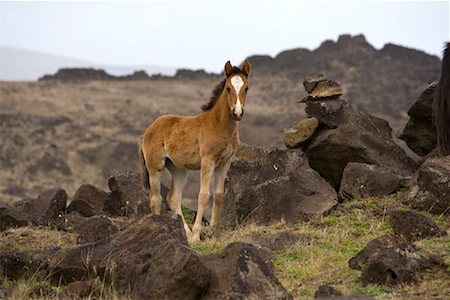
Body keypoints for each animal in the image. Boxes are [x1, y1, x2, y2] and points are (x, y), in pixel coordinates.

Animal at [140, 59, 250, 243]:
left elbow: (219, 195)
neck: (219, 125)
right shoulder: (208, 161)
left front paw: (213, 233)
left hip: (179, 170)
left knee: (173, 198)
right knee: (156, 199)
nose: (237, 112)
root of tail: (148, 130)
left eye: (247, 88)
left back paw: (186, 234)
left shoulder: (224, 163)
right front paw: (197, 235)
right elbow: (203, 195)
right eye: (228, 88)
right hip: (155, 167)